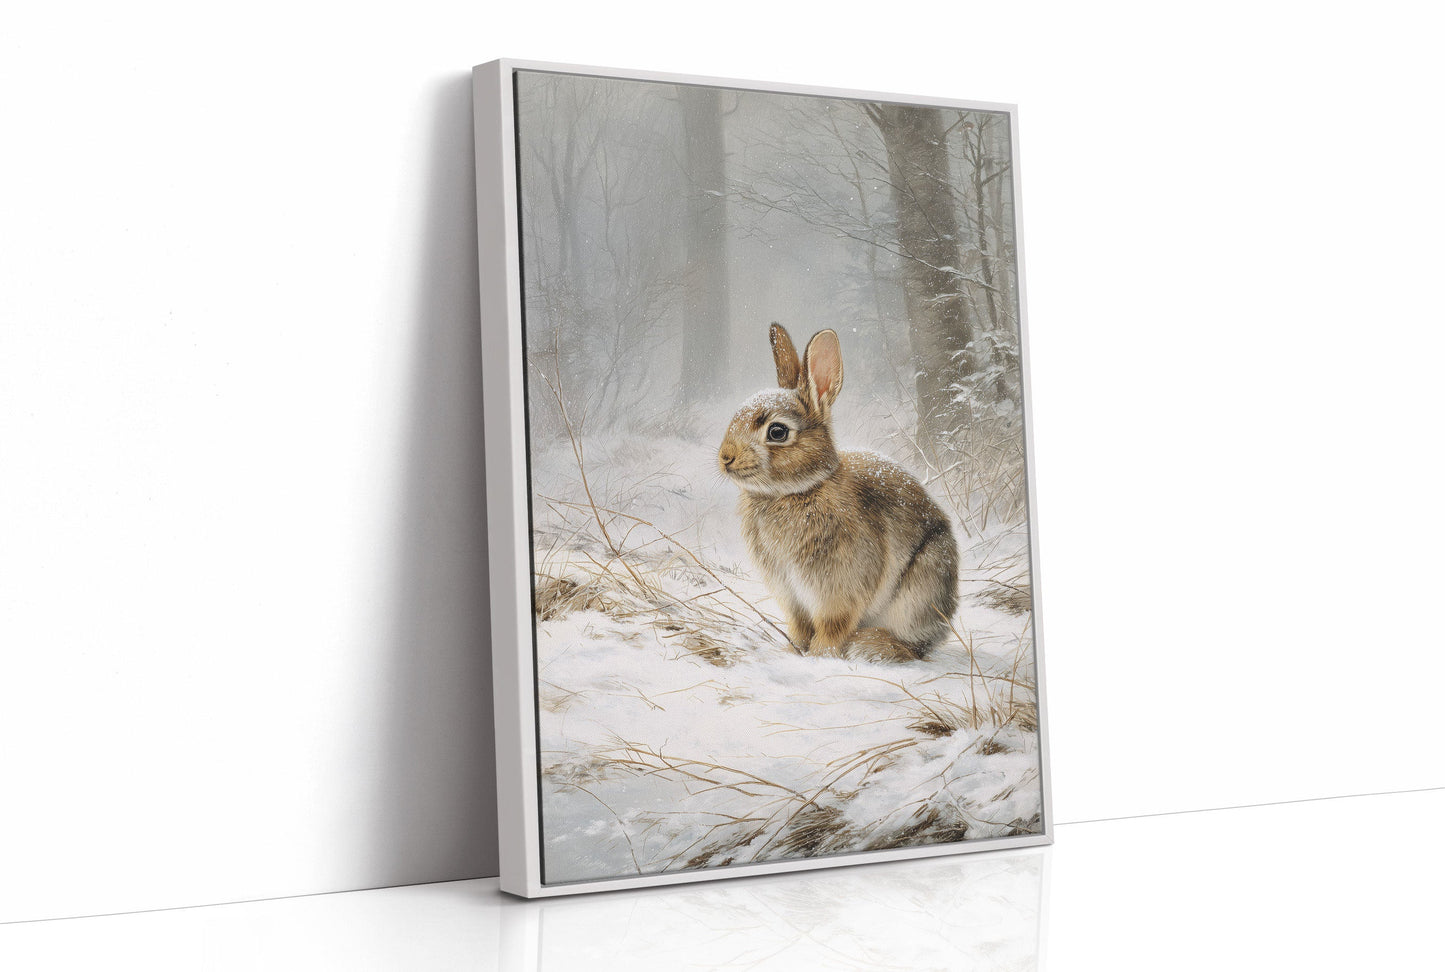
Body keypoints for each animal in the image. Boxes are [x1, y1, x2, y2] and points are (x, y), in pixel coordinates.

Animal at [717, 323, 959, 662]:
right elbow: (799, 627)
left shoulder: (840, 591)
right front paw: (791, 652)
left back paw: (871, 646)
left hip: (922, 586)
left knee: (914, 646)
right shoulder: (791, 595)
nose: (725, 457)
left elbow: (832, 627)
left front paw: (821, 657)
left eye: (777, 432)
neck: (797, 490)